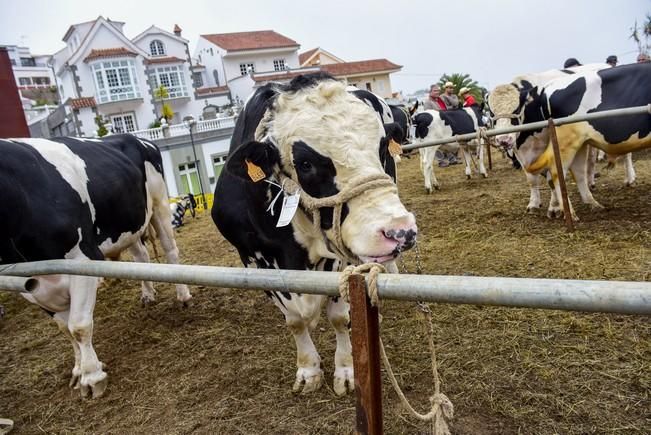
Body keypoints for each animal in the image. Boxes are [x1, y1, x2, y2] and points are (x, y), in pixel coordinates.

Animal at [0, 135, 192, 398]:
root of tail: (139, 138)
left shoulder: (84, 260)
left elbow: (79, 326)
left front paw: (92, 376)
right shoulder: (29, 283)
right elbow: (65, 329)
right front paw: (78, 369)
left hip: (159, 203)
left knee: (171, 251)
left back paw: (183, 295)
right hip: (129, 223)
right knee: (141, 256)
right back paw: (147, 294)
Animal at [214, 73, 418, 396]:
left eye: (382, 147)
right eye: (306, 163)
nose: (400, 230)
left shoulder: (338, 257)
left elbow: (340, 317)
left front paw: (346, 371)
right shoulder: (253, 260)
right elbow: (295, 322)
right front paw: (308, 370)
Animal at [492, 63, 648, 220]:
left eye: (517, 108)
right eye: (491, 113)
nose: (503, 140)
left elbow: (551, 176)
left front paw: (554, 207)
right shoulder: (521, 150)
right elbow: (531, 179)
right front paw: (534, 204)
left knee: (624, 155)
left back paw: (629, 179)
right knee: (589, 162)